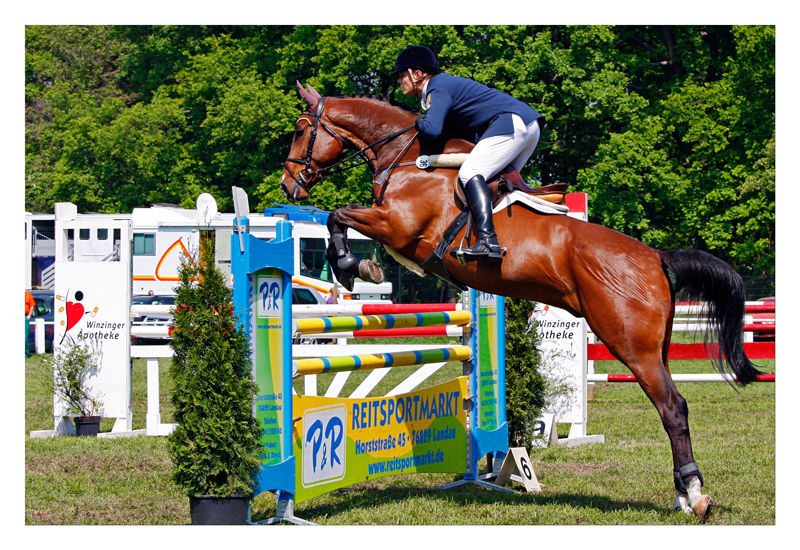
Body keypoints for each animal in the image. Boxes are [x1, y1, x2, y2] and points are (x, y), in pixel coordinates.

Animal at [282, 82, 764, 520]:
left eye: (302, 129)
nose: (289, 186)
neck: (407, 156)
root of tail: (656, 257)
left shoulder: (396, 225)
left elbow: (338, 215)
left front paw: (352, 265)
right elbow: (345, 222)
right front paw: (362, 267)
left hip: (631, 344)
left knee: (672, 407)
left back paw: (695, 495)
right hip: (655, 346)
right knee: (670, 405)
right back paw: (683, 494)